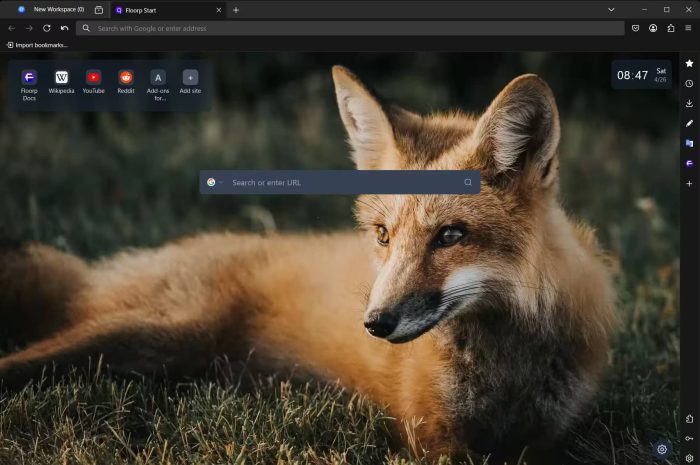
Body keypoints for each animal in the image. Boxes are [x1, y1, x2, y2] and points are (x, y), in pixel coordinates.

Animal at [0, 66, 617, 461]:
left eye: (450, 235)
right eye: (383, 235)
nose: (375, 323)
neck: (503, 367)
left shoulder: (551, 437)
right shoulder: (431, 438)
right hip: (153, 333)